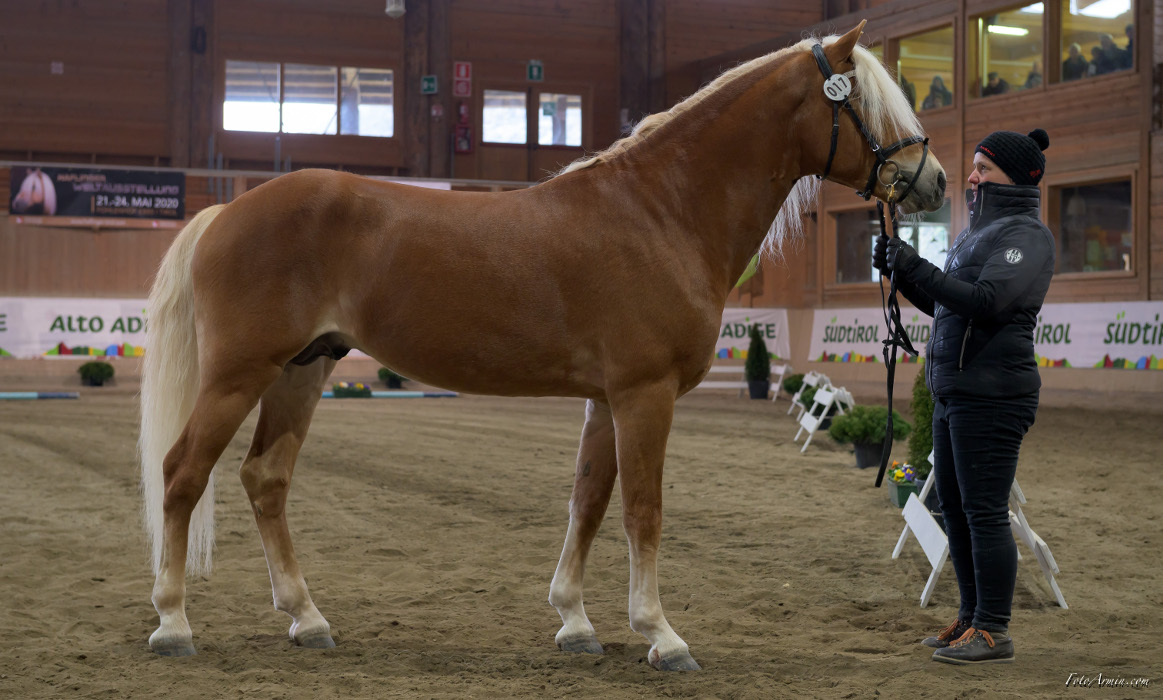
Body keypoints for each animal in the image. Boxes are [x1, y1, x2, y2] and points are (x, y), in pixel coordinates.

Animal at [140, 22, 946, 670]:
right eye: (866, 102)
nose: (932, 182)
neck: (661, 212)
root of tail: (225, 210)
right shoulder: (643, 394)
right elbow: (642, 510)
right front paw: (661, 634)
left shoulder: (606, 400)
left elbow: (587, 503)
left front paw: (575, 622)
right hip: (238, 375)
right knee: (182, 473)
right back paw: (174, 623)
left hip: (300, 373)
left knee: (264, 479)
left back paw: (307, 619)